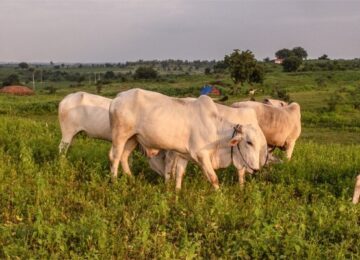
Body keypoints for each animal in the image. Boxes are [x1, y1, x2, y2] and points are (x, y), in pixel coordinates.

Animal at [107, 89, 268, 189]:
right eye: (249, 142)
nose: (256, 168)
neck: (216, 130)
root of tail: (118, 97)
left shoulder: (183, 155)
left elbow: (179, 175)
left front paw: (177, 192)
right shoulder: (202, 155)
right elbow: (214, 178)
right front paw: (220, 197)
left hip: (133, 138)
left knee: (124, 157)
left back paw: (131, 179)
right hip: (120, 136)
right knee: (115, 158)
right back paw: (115, 183)